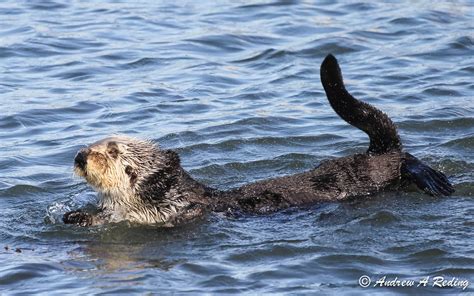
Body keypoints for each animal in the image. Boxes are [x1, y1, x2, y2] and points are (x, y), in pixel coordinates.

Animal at [64, 54, 456, 227]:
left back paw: (434, 180)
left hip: (384, 171)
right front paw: (74, 216)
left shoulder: (168, 215)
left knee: (407, 162)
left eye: (112, 151)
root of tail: (377, 151)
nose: (81, 156)